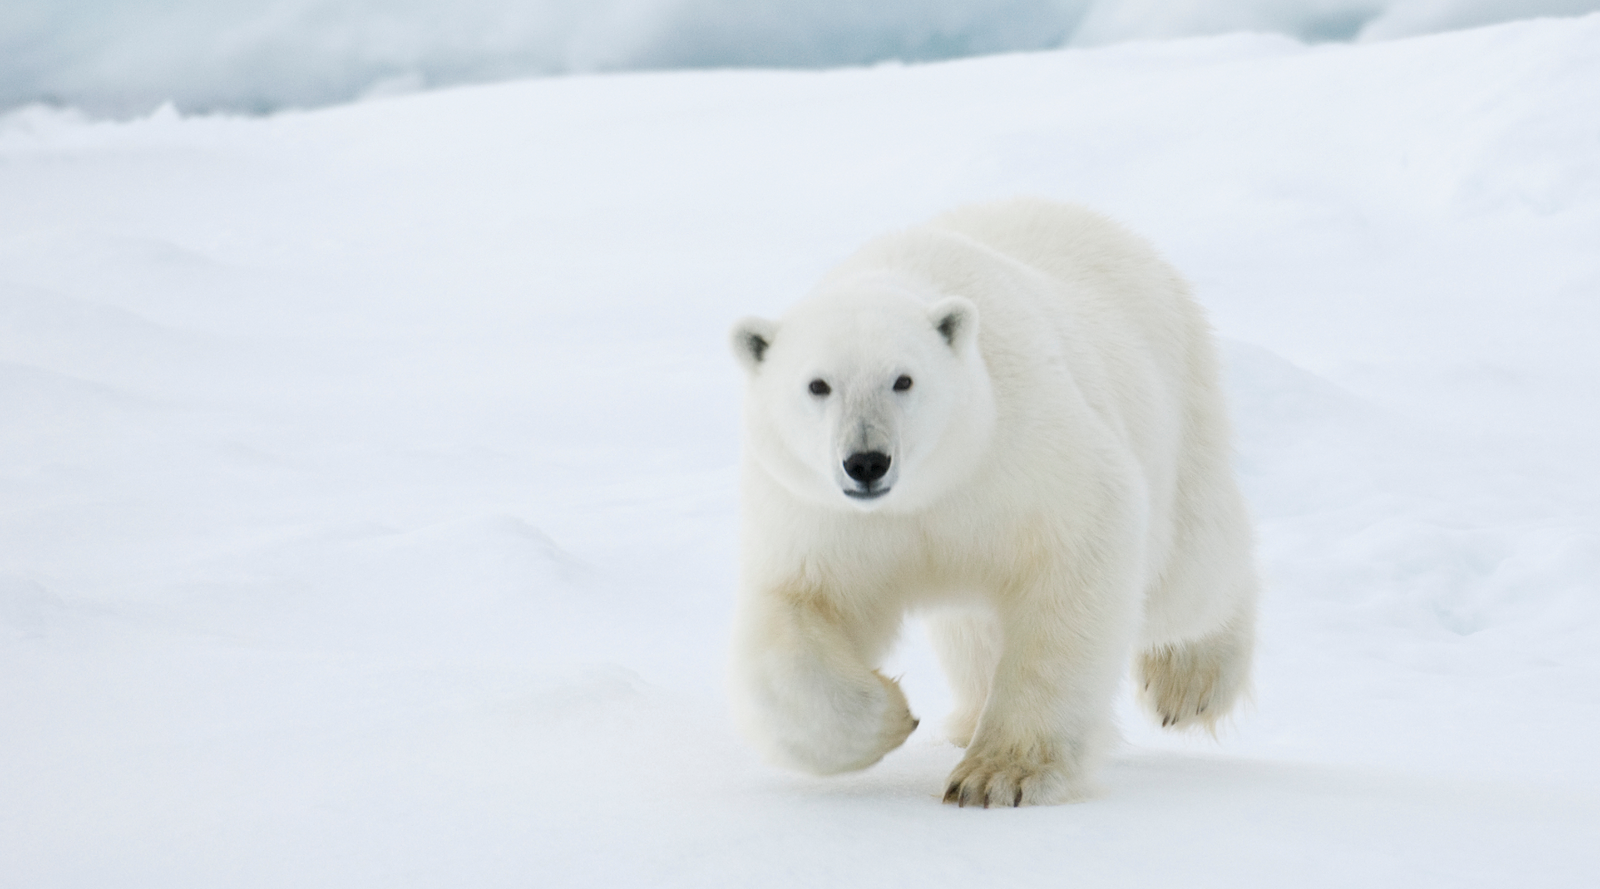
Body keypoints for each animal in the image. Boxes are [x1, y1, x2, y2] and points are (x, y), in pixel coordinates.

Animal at [728, 198, 1257, 807]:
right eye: (817, 385)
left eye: (904, 380)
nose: (866, 462)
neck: (929, 488)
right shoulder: (818, 515)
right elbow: (796, 614)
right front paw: (891, 717)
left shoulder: (1024, 448)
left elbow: (1079, 555)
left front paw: (1000, 776)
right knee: (972, 629)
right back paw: (966, 718)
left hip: (1176, 405)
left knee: (1188, 580)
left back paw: (1189, 681)